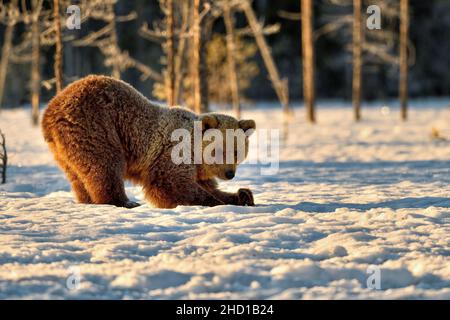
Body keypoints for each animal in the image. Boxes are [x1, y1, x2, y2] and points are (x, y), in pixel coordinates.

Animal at [42, 76, 256, 209]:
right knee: (105, 165)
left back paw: (87, 200)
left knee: (78, 175)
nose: (230, 173)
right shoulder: (172, 154)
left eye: (237, 151)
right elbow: (171, 185)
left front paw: (243, 195)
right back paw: (124, 202)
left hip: (64, 149)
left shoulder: (199, 171)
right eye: (219, 150)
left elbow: (209, 186)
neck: (195, 153)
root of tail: (50, 110)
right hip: (95, 125)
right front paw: (216, 201)